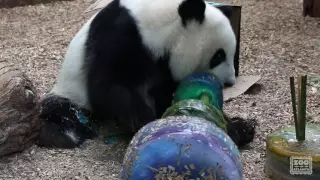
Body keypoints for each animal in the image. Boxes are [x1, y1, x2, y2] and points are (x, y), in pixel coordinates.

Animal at [37, 0, 255, 148]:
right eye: (218, 56)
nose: (230, 82)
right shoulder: (120, 36)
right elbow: (110, 86)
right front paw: (145, 121)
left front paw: (239, 128)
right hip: (70, 92)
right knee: (63, 113)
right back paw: (65, 134)